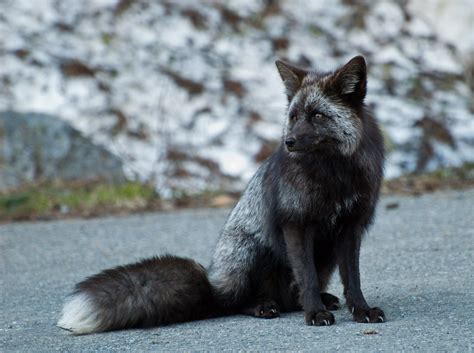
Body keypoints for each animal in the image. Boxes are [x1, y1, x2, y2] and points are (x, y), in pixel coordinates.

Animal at [58, 55, 386, 332]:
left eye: (317, 116)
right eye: (293, 117)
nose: (289, 142)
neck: (334, 177)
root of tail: (214, 285)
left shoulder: (351, 228)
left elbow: (353, 279)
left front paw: (361, 310)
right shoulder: (296, 224)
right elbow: (306, 278)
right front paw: (315, 313)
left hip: (324, 257)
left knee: (292, 297)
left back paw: (319, 299)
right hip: (252, 253)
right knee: (238, 303)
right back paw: (262, 305)